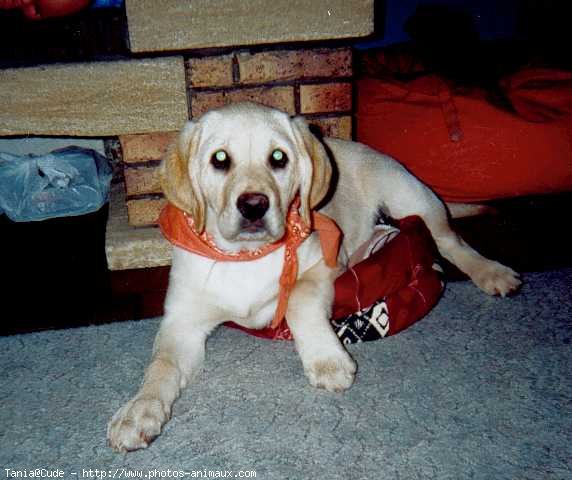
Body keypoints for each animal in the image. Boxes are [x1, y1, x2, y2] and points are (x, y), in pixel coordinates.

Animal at [108, 101, 524, 450]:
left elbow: (299, 299)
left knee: (451, 242)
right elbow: (161, 364)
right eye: (219, 159)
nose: (254, 206)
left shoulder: (325, 261)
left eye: (278, 158)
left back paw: (493, 273)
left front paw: (326, 360)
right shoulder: (182, 322)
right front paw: (138, 411)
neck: (245, 257)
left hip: (410, 198)